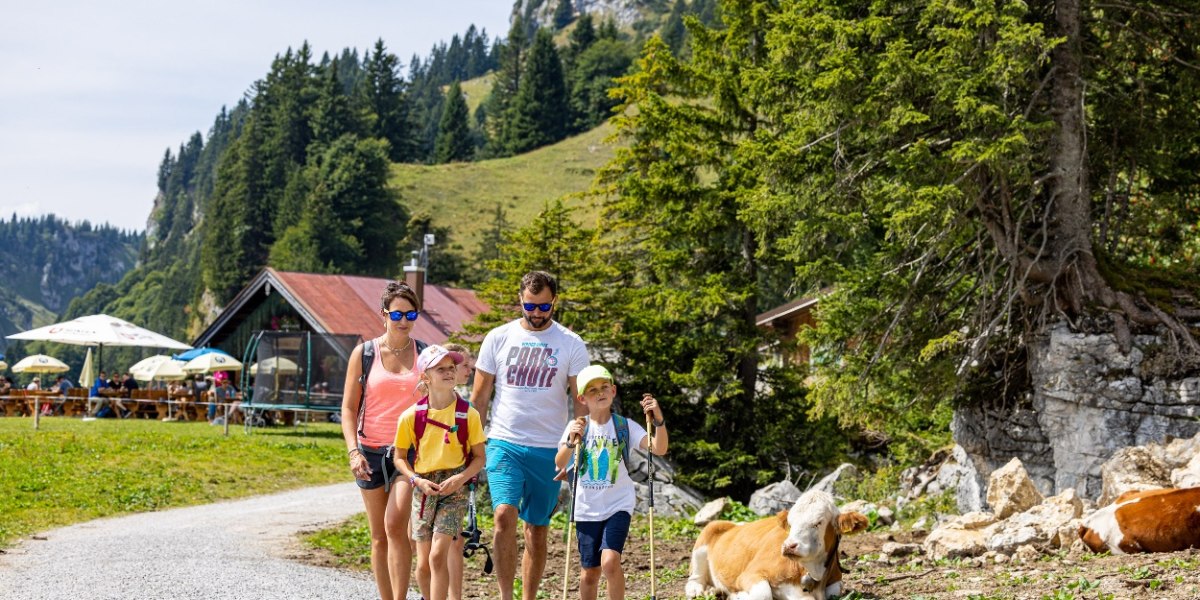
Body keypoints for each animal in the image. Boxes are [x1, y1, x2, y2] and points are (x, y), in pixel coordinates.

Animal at [686, 489, 873, 597]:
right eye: (790, 522)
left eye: (818, 522)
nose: (789, 546)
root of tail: (735, 523)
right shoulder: (750, 574)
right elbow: (763, 593)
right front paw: (737, 596)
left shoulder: (835, 580)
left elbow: (835, 591)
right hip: (704, 539)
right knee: (694, 577)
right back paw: (699, 590)